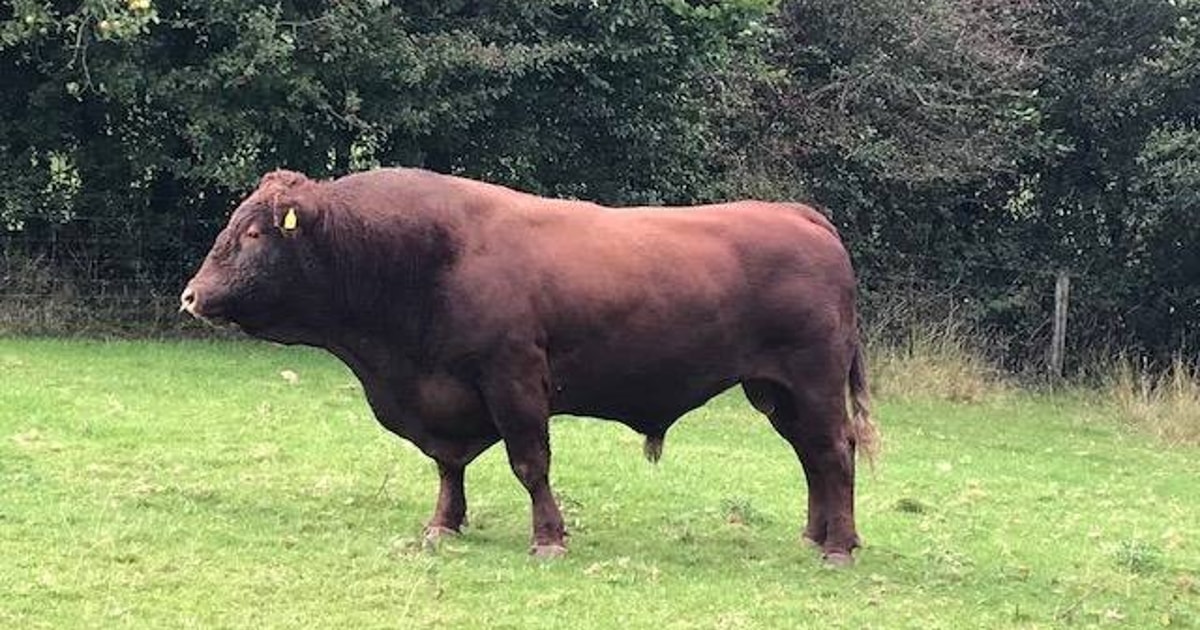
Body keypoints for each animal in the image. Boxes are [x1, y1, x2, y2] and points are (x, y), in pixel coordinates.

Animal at [181, 167, 878, 564]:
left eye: (252, 235)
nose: (191, 295)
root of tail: (796, 213)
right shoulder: (445, 393)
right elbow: (448, 466)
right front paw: (443, 525)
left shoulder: (512, 378)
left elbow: (529, 463)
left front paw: (548, 538)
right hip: (775, 391)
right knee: (813, 457)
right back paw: (814, 536)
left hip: (813, 381)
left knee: (833, 453)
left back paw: (838, 548)